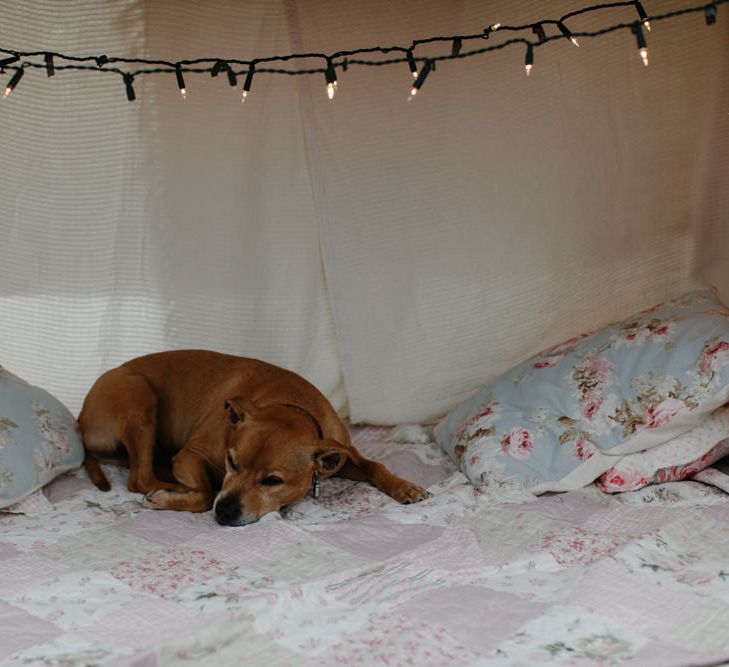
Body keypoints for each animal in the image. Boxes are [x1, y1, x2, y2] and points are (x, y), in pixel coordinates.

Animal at [79, 350, 426, 528]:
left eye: (272, 481)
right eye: (232, 462)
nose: (225, 512)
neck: (292, 406)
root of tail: (81, 418)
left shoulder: (342, 454)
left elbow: (374, 465)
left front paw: (405, 486)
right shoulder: (192, 454)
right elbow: (207, 493)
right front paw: (181, 495)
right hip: (139, 396)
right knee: (140, 477)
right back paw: (167, 486)